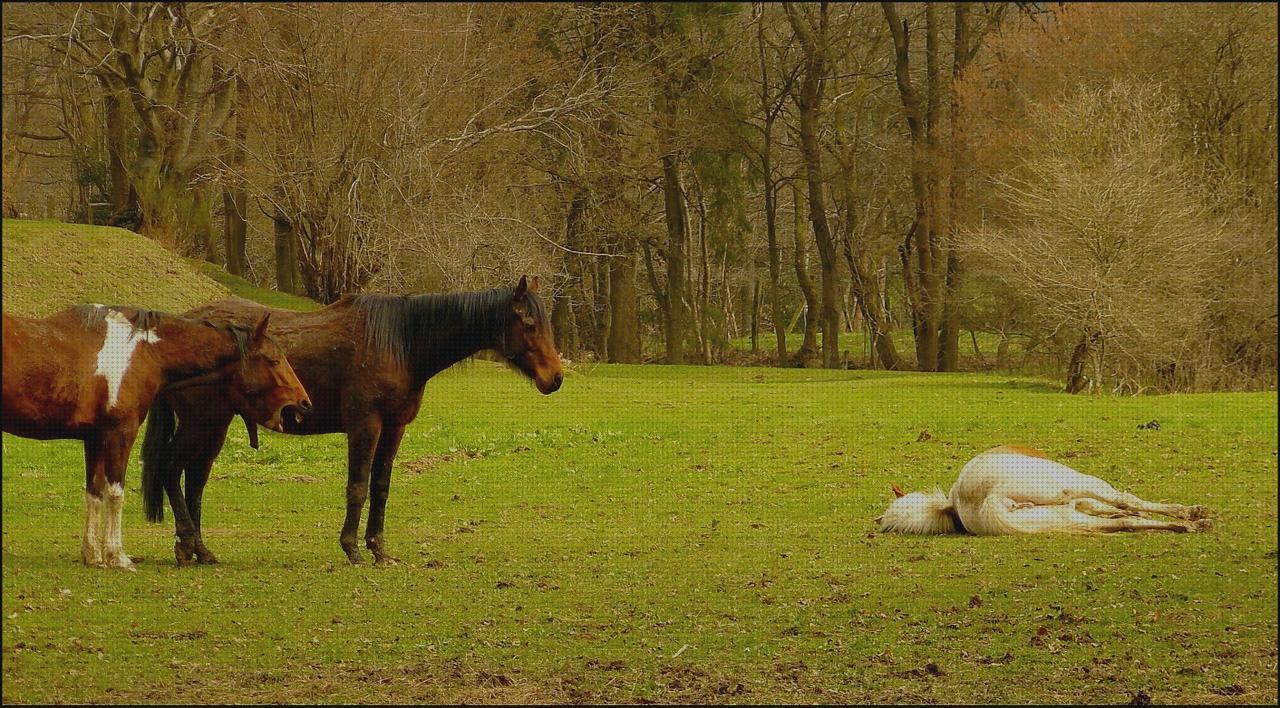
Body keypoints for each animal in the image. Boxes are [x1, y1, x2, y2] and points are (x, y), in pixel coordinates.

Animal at [1, 303, 312, 568]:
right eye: (274, 360)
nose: (303, 402)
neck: (139, 353)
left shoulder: (95, 438)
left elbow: (95, 494)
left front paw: (93, 555)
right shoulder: (120, 433)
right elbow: (115, 493)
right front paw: (117, 556)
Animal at [142, 275, 563, 563]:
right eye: (529, 325)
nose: (555, 377)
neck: (401, 342)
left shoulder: (394, 428)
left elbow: (380, 487)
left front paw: (379, 549)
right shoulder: (366, 425)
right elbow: (357, 487)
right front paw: (352, 548)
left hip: (214, 427)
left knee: (194, 482)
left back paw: (199, 549)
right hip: (201, 424)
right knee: (171, 471)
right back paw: (187, 544)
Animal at [880, 445, 1208, 532]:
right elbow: (1122, 504)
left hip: (1065, 516)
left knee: (1122, 521)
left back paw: (1185, 526)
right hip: (1074, 484)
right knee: (1125, 503)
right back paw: (1191, 517)